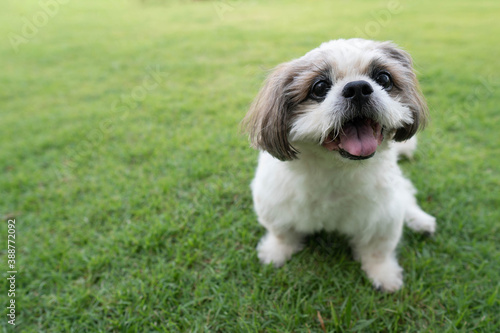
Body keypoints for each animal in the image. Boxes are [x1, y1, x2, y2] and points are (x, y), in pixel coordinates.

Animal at [244, 39, 436, 292]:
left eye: (384, 78)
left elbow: (378, 250)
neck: (337, 169)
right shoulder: (275, 204)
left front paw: (384, 275)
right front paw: (276, 252)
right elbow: (282, 233)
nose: (358, 88)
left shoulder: (383, 216)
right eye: (319, 87)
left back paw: (420, 220)